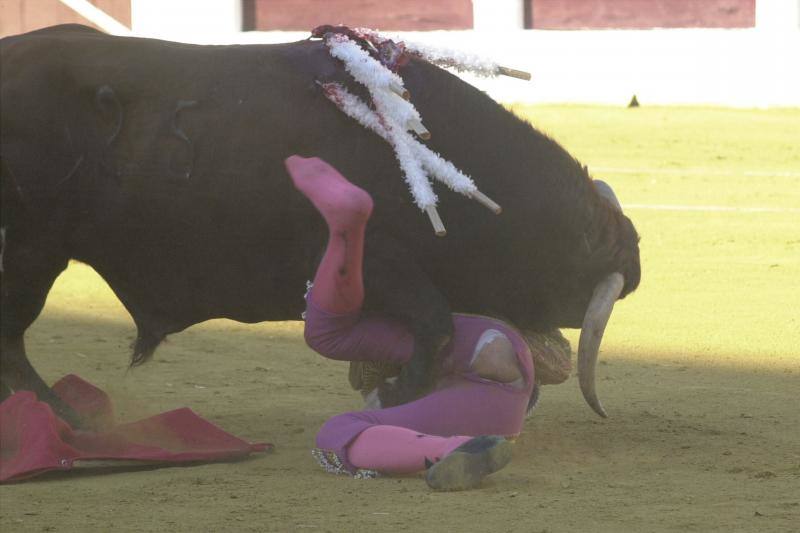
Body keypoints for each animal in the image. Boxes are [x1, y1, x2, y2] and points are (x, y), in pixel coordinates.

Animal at [0, 26, 636, 424]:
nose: (633, 263)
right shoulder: (379, 257)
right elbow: (435, 324)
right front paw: (393, 395)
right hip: (29, 253)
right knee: (11, 339)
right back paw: (70, 420)